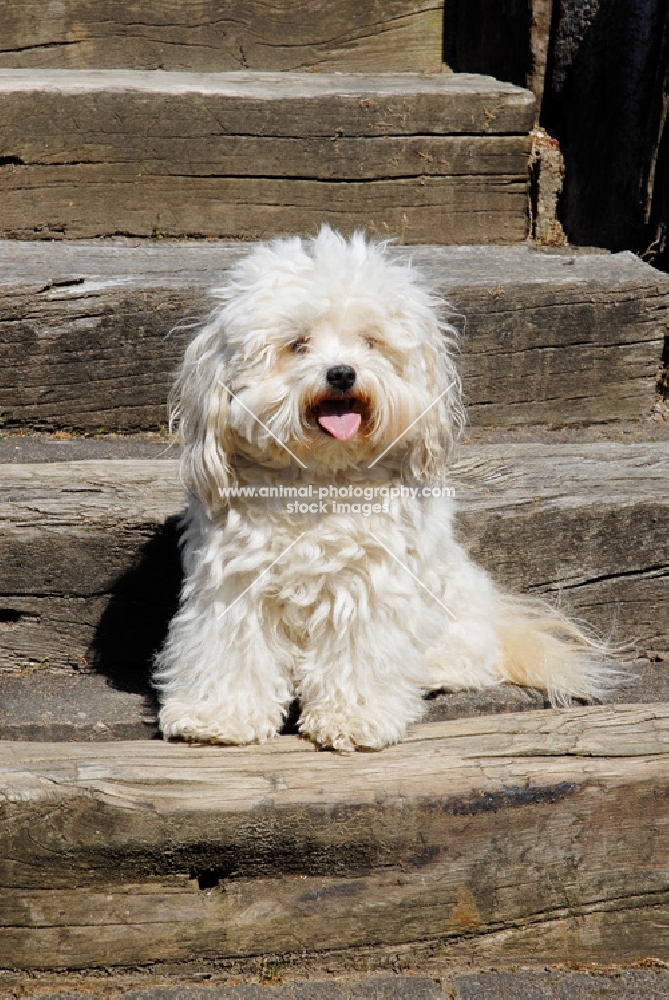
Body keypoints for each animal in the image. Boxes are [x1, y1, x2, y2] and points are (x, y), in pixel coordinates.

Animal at [154, 223, 612, 748]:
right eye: (298, 344)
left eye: (370, 341)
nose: (341, 372)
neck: (321, 479)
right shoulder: (235, 583)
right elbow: (232, 651)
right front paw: (219, 716)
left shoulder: (370, 588)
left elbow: (358, 656)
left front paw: (353, 718)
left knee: (472, 656)